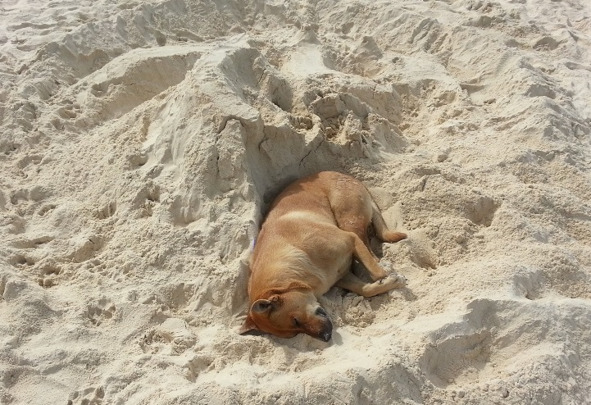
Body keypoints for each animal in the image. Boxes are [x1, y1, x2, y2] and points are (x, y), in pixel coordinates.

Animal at [239, 171, 407, 342]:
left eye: (295, 321)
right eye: (295, 333)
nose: (326, 337)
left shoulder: (350, 239)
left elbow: (376, 273)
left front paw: (387, 275)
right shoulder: (341, 277)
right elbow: (365, 290)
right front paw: (386, 283)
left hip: (349, 221)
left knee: (370, 250)